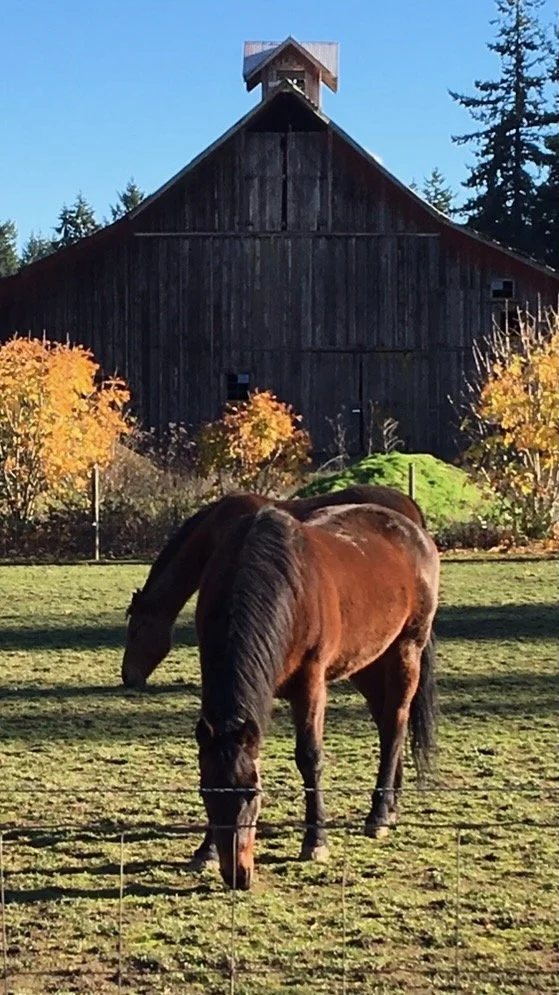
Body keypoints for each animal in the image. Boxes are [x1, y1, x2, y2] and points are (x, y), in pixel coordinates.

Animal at [195, 502, 440, 890]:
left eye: (252, 792)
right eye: (206, 792)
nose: (238, 875)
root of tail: (412, 529)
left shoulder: (310, 684)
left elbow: (310, 759)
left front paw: (315, 842)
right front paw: (206, 851)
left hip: (407, 649)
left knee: (395, 723)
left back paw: (378, 816)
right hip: (367, 663)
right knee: (386, 725)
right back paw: (391, 806)